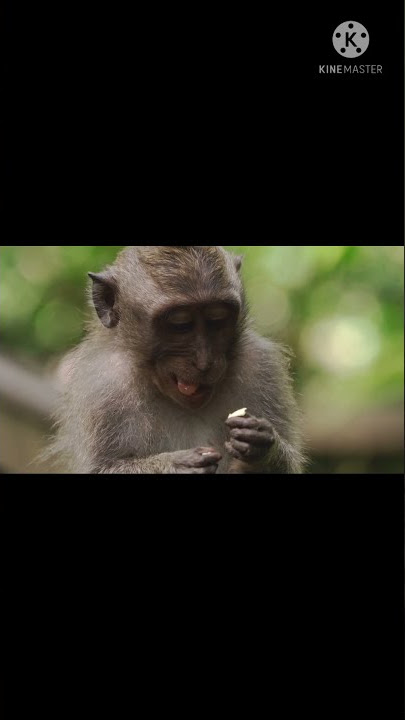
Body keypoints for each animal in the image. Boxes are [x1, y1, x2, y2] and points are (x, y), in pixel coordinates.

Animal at [48, 246, 306, 474]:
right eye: (180, 325)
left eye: (217, 320)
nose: (204, 362)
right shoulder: (103, 385)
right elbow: (103, 467)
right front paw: (175, 465)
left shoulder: (261, 365)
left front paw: (263, 447)